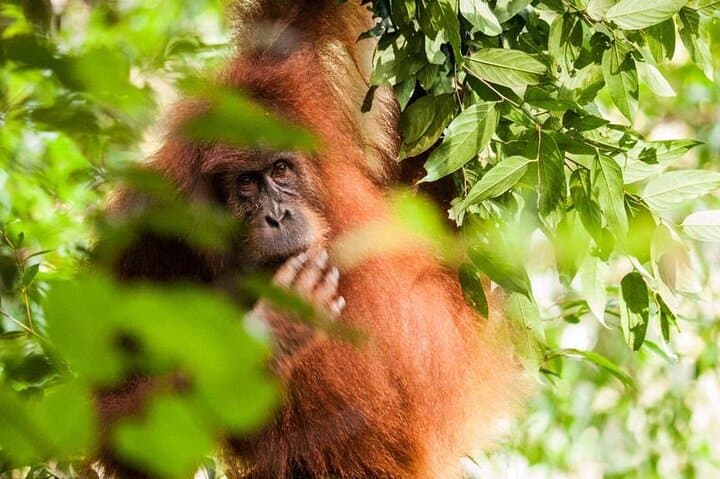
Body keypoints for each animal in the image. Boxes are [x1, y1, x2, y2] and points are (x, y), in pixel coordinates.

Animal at [100, 1, 527, 478]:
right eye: (246, 184)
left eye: (281, 170)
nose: (277, 215)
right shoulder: (144, 237)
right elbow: (113, 412)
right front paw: (275, 330)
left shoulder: (285, 69)